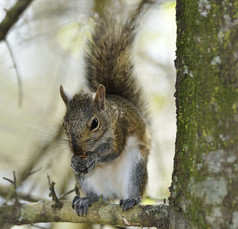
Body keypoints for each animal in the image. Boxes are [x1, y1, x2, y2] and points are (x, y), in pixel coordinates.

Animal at [59, 10, 151, 216]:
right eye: (64, 125)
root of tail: (114, 193)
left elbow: (114, 151)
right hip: (86, 180)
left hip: (135, 165)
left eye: (95, 123)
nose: (77, 151)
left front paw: (95, 157)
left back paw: (132, 199)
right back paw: (86, 200)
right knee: (98, 196)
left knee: (134, 188)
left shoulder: (120, 129)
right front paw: (73, 161)